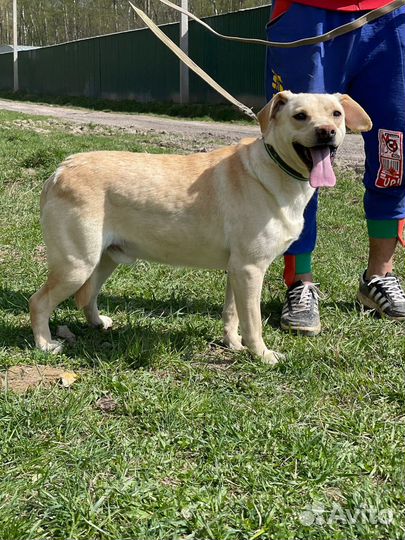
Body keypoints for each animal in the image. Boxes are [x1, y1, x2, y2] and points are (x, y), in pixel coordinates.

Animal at [30, 92, 370, 362]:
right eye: (300, 116)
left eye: (336, 114)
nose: (326, 132)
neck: (274, 170)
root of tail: (60, 170)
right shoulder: (250, 269)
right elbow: (253, 322)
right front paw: (262, 355)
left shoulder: (238, 270)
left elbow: (232, 314)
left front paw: (233, 345)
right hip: (76, 264)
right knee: (39, 302)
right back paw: (46, 344)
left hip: (105, 260)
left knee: (86, 297)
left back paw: (98, 323)